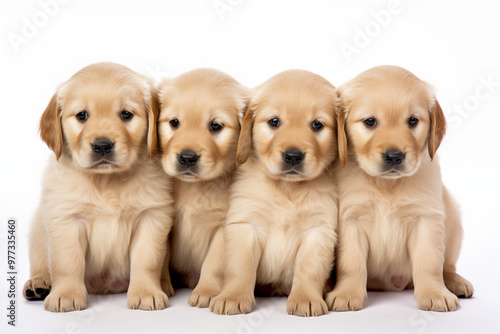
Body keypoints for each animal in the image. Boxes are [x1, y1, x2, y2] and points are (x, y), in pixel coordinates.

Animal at [23, 62, 174, 314]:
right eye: (82, 115)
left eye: (126, 114)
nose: (102, 145)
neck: (106, 180)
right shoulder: (66, 218)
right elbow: (68, 261)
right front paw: (66, 295)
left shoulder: (152, 216)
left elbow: (147, 259)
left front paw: (146, 293)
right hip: (36, 227)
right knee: (41, 263)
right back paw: (38, 283)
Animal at [158, 68, 248, 308]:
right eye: (174, 122)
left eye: (215, 126)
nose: (187, 158)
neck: (196, 187)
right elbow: (159, 255)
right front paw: (161, 285)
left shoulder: (224, 227)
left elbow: (214, 262)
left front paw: (206, 291)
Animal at [209, 70, 338, 316]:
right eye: (274, 122)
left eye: (317, 124)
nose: (293, 156)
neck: (287, 188)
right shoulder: (246, 225)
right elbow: (241, 266)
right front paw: (233, 296)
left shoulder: (319, 230)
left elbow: (309, 269)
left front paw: (305, 298)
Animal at [326, 66, 474, 314]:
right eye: (370, 122)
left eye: (413, 120)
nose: (394, 156)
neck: (387, 185)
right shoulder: (350, 219)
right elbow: (351, 263)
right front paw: (346, 294)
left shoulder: (427, 218)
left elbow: (429, 262)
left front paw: (434, 294)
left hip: (453, 218)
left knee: (448, 266)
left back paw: (455, 282)